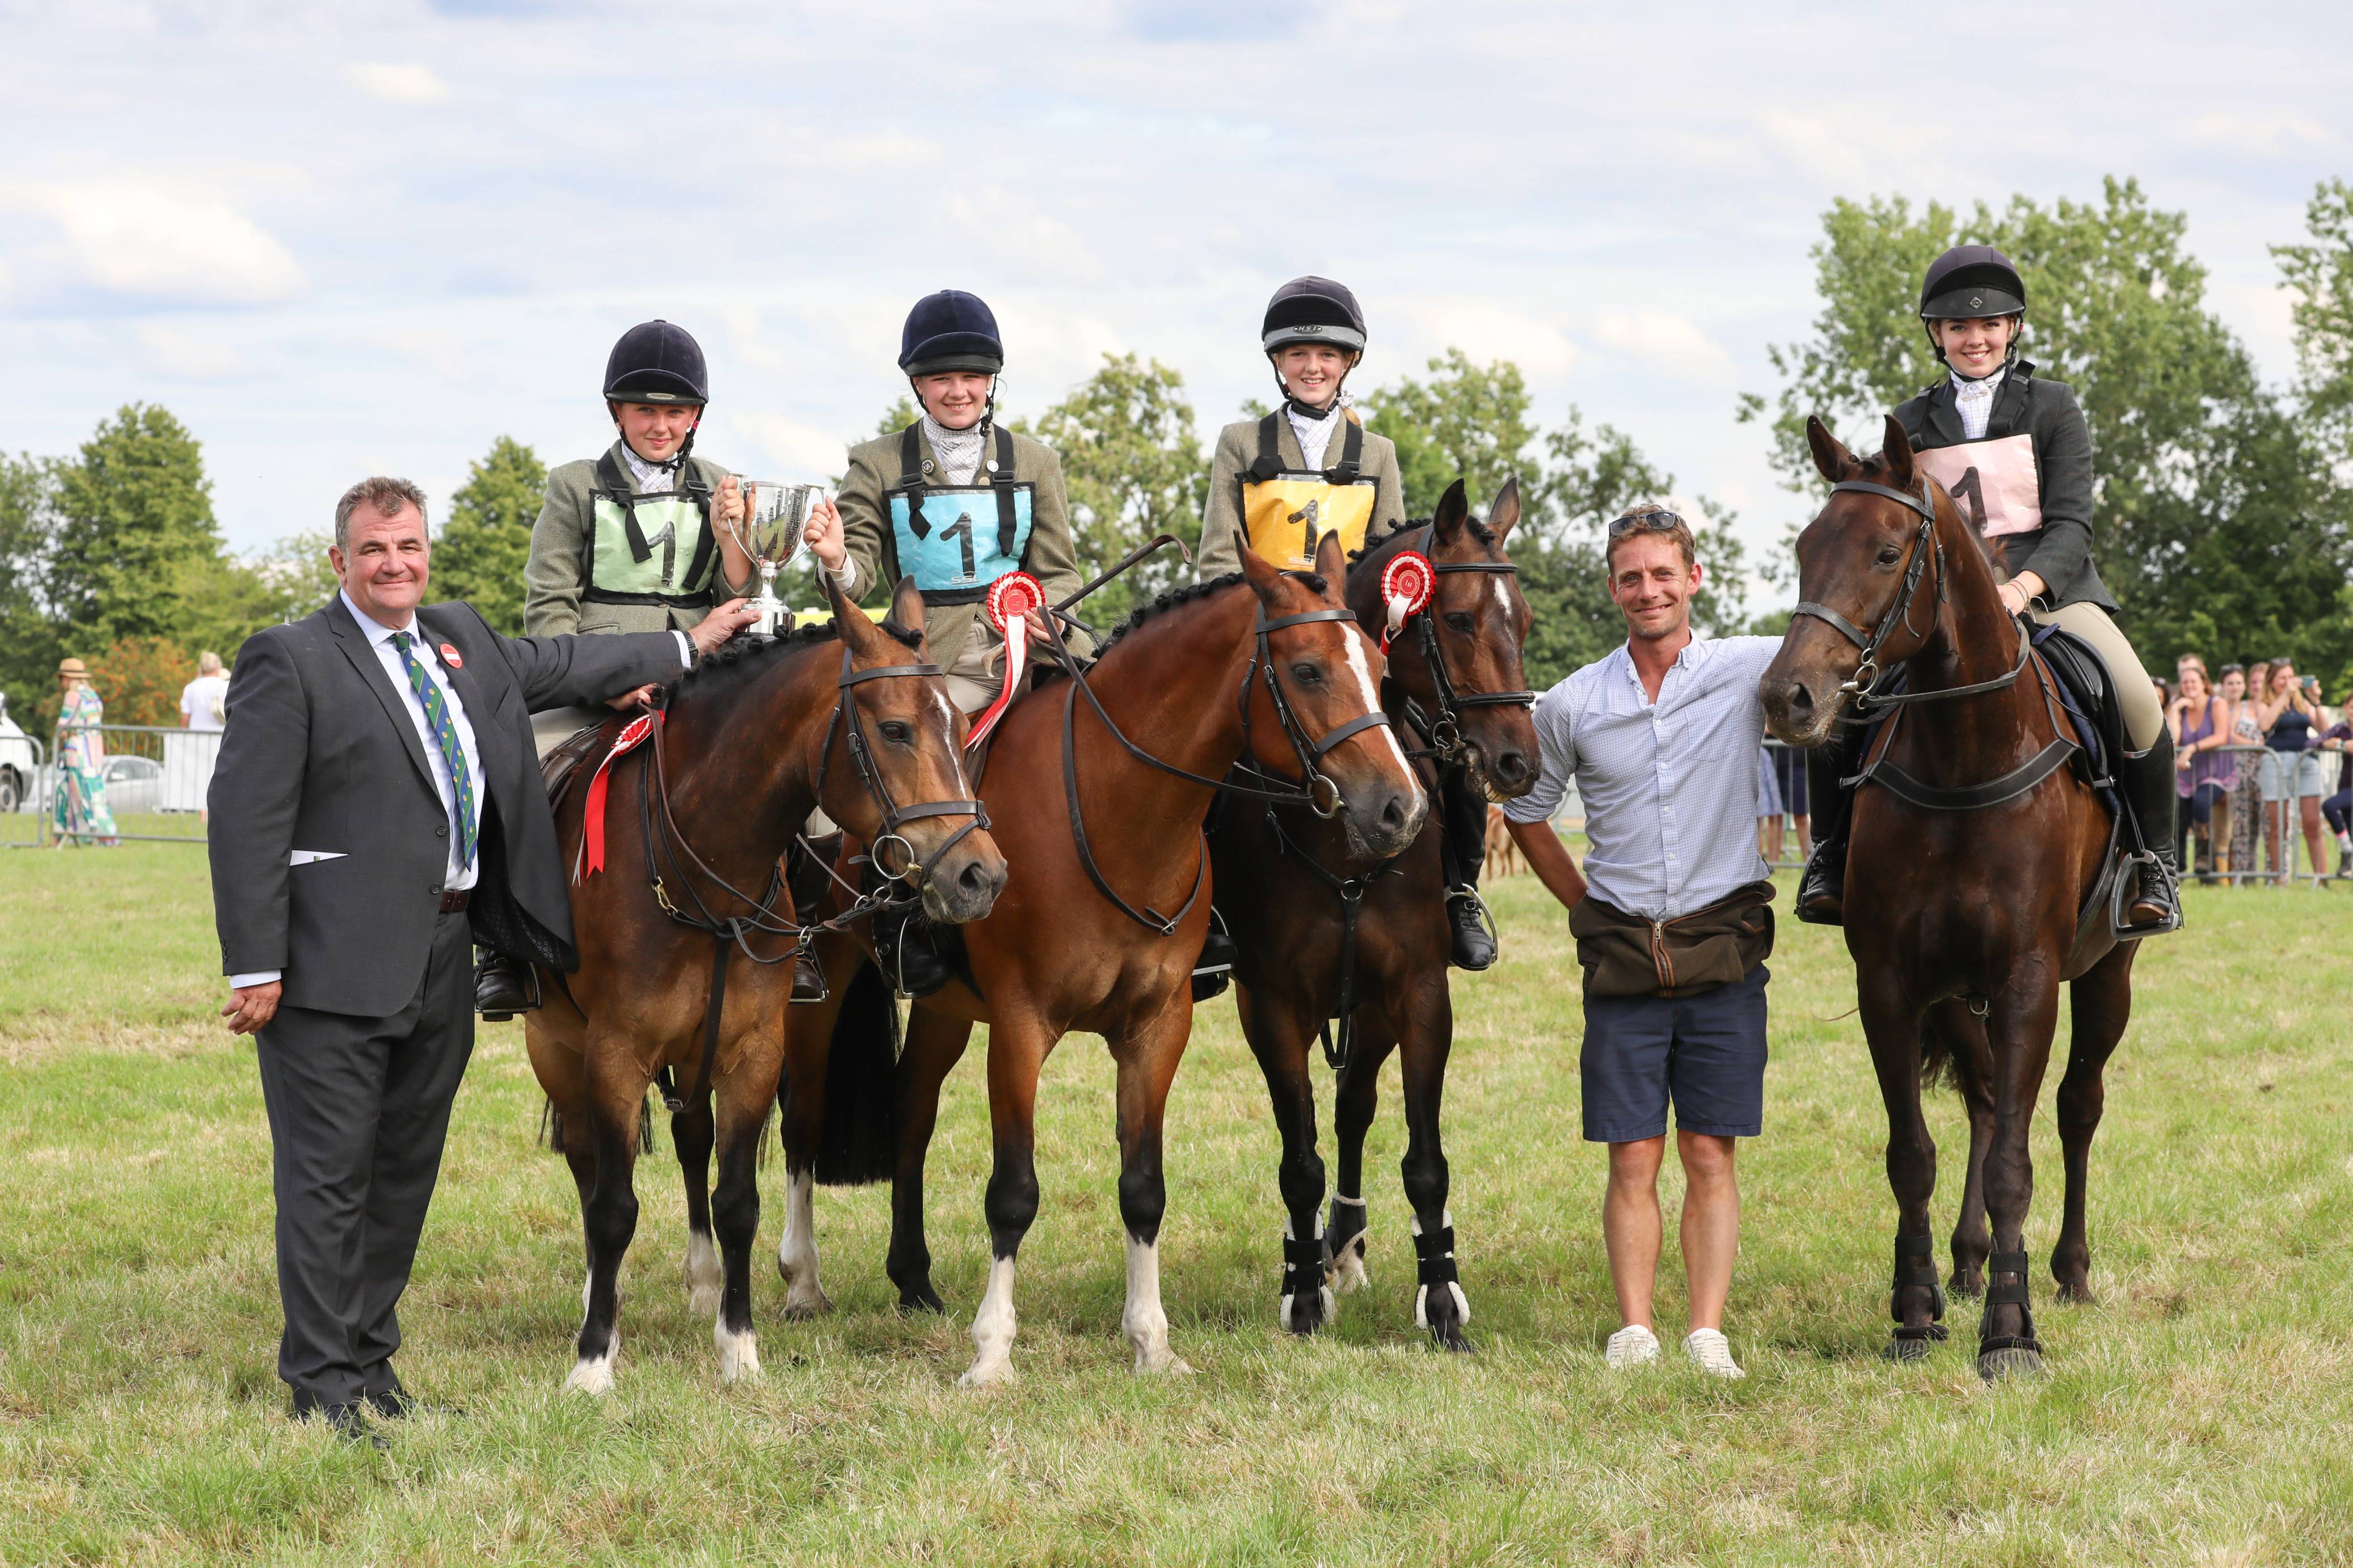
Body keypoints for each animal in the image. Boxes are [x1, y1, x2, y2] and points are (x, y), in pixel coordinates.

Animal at [524, 575, 1006, 1394]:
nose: (981, 874)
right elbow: (612, 1205)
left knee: (692, 1141)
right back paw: (603, 1303)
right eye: (897, 729)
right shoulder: (615, 1053)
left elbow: (737, 1200)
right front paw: (592, 1359)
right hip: (556, 1045)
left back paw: (702, 1283)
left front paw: (739, 1347)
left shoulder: (750, 1049)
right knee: (589, 1167)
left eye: (962, 725)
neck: (700, 857)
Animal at [782, 529, 1428, 1386]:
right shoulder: (1020, 1027)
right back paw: (801, 1281)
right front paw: (992, 1352)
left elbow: (1143, 1187)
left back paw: (913, 1280)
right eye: (1309, 670)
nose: (1401, 808)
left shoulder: (1157, 1027)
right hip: (820, 992)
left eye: (1380, 668)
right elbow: (1013, 1192)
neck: (1113, 808)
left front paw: (1151, 1341)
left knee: (911, 1114)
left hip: (947, 1008)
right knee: (801, 1121)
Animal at [1205, 479, 1536, 1350]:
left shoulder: (1417, 994)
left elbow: (1422, 1159)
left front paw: (1442, 1300)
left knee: (1355, 1104)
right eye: (1456, 618)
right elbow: (1299, 1159)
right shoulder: (1272, 1006)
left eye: (1522, 620)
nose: (1519, 760)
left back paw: (1347, 1240)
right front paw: (1302, 1294)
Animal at [1758, 414, 2139, 1379]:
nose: (1788, 698)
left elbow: (2015, 1160)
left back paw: (2069, 1272)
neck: (1966, 754)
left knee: (2077, 1108)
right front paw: (1917, 1311)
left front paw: (2010, 1332)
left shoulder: (2030, 979)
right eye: (1805, 546)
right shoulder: (1892, 983)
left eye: (1889, 552)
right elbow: (1913, 1153)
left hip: (2108, 971)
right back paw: (1969, 1263)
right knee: (1986, 1097)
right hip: (1959, 995)